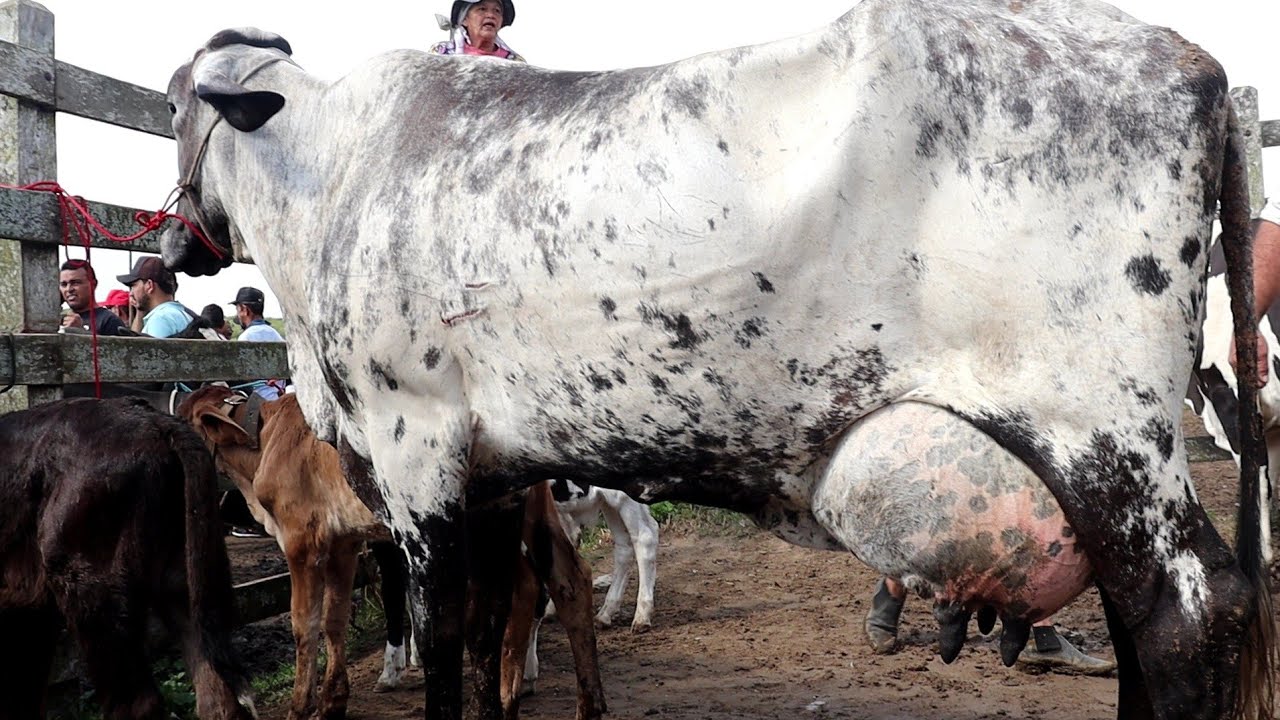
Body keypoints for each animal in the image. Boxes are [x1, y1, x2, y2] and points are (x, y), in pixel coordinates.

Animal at [0, 397, 256, 720]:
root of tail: (158, 423)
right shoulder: (29, 611)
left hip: (92, 594)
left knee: (137, 702)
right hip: (183, 585)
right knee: (217, 692)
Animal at [159, 0, 1272, 717]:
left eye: (172, 103)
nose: (176, 243)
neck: (332, 171)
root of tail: (1198, 65)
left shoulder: (413, 437)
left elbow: (440, 631)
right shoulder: (487, 473)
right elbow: (485, 632)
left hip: (1103, 432)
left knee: (1189, 619)